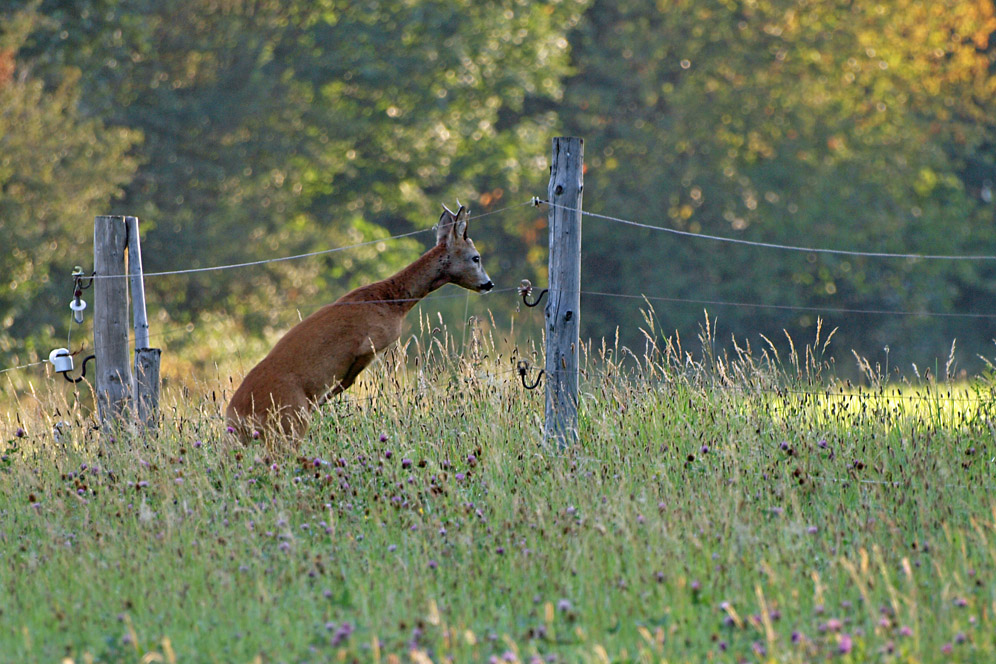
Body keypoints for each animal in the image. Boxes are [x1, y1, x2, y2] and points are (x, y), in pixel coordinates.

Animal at [226, 202, 490, 440]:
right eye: (476, 258)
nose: (489, 284)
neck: (391, 301)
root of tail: (235, 418)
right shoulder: (371, 342)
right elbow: (346, 382)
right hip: (287, 425)